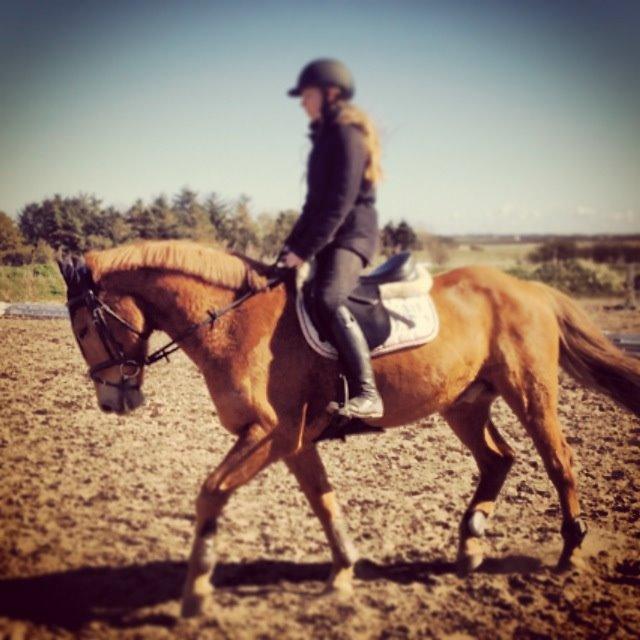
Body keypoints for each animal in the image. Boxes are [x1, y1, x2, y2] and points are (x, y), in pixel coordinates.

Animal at [57, 239, 640, 617]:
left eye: (85, 326)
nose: (114, 401)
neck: (233, 321)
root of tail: (530, 288)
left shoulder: (270, 435)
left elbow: (210, 493)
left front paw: (196, 592)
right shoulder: (292, 442)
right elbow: (323, 501)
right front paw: (342, 572)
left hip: (530, 393)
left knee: (559, 460)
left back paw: (571, 550)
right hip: (463, 403)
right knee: (499, 458)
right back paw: (471, 544)